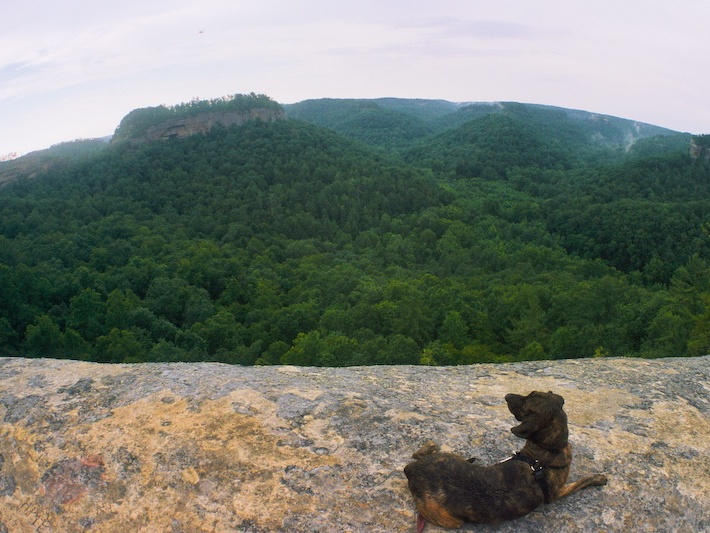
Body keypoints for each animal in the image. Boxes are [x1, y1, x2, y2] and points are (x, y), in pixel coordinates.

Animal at [404, 388, 608, 528]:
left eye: (527, 402)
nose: (507, 396)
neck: (547, 450)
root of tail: (413, 472)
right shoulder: (556, 493)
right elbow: (581, 482)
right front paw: (599, 478)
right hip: (451, 519)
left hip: (446, 460)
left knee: (418, 455)